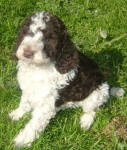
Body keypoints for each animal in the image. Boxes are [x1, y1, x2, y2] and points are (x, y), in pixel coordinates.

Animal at [8, 11, 124, 148]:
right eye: (26, 32)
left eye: (48, 39)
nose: (27, 53)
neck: (37, 68)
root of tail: (105, 83)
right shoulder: (28, 89)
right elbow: (24, 103)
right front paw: (17, 114)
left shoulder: (45, 105)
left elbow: (34, 124)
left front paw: (22, 141)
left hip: (96, 96)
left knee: (92, 111)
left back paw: (85, 122)